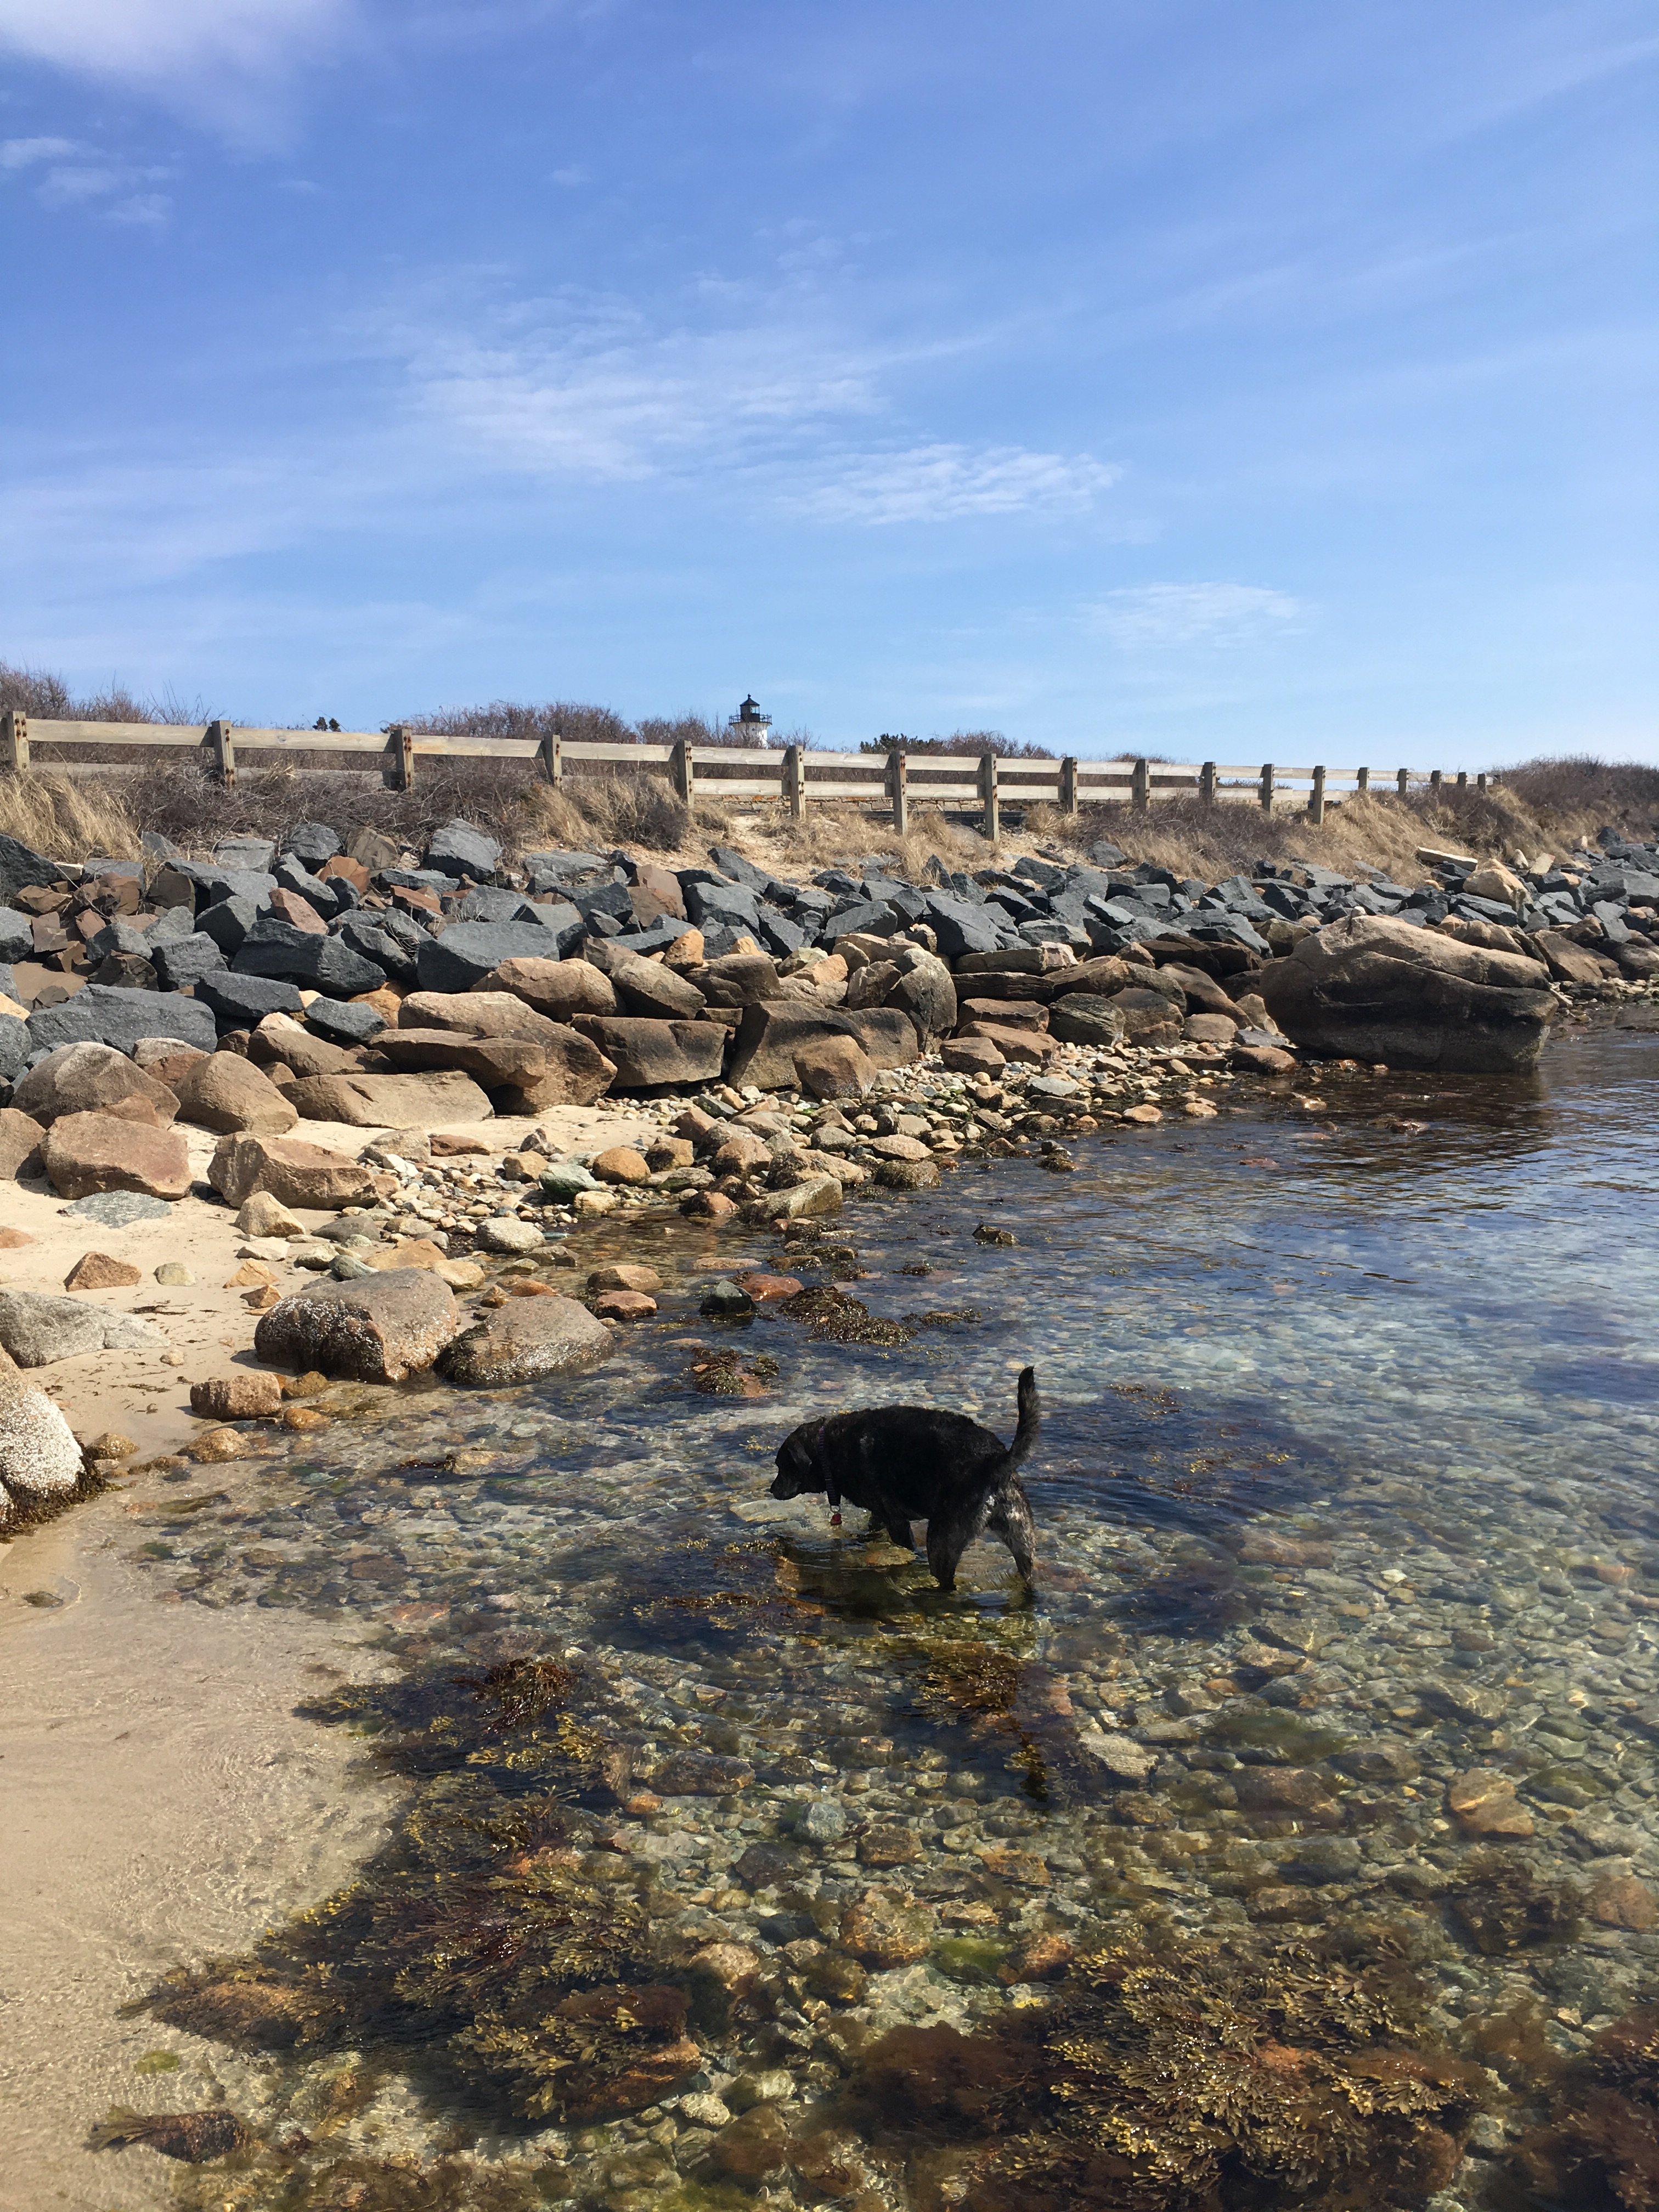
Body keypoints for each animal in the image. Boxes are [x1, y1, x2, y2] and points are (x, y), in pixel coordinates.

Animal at [770, 1367, 1039, 1591]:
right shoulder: (880, 1514)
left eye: (782, 1467)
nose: (772, 1490)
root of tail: (995, 1460)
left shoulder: (896, 1521)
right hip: (1022, 1536)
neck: (828, 1450)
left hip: (941, 1540)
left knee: (947, 1583)